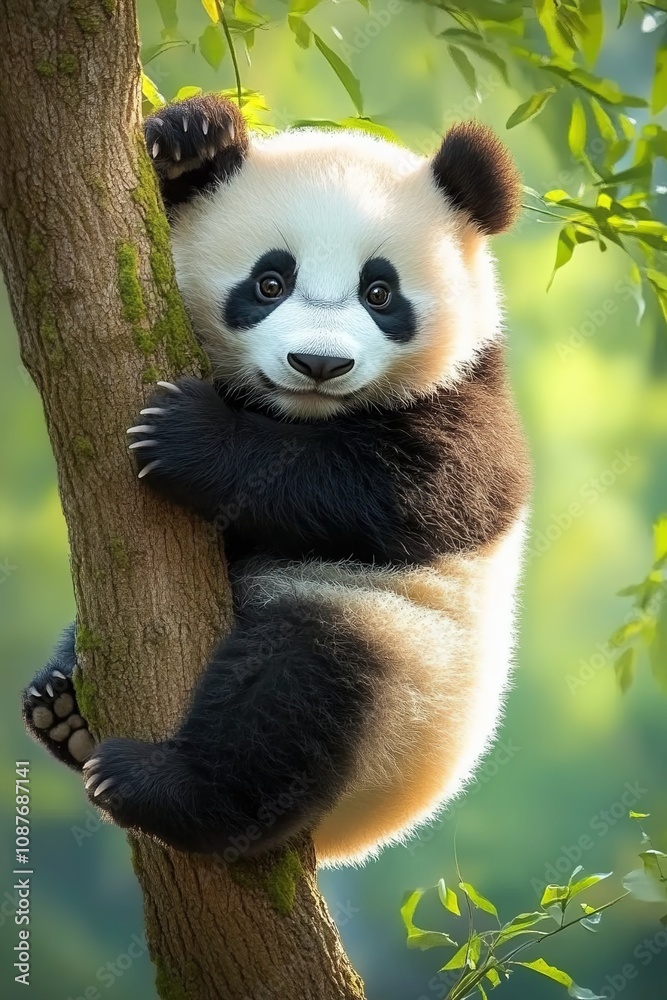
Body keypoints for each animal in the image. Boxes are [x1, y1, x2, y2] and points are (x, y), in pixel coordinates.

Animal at [23, 93, 530, 866]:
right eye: (270, 282)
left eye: (379, 292)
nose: (318, 364)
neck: (297, 412)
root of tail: (357, 836)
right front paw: (189, 139)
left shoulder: (472, 396)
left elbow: (410, 489)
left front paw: (186, 435)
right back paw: (62, 708)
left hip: (397, 663)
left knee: (291, 697)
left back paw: (163, 786)